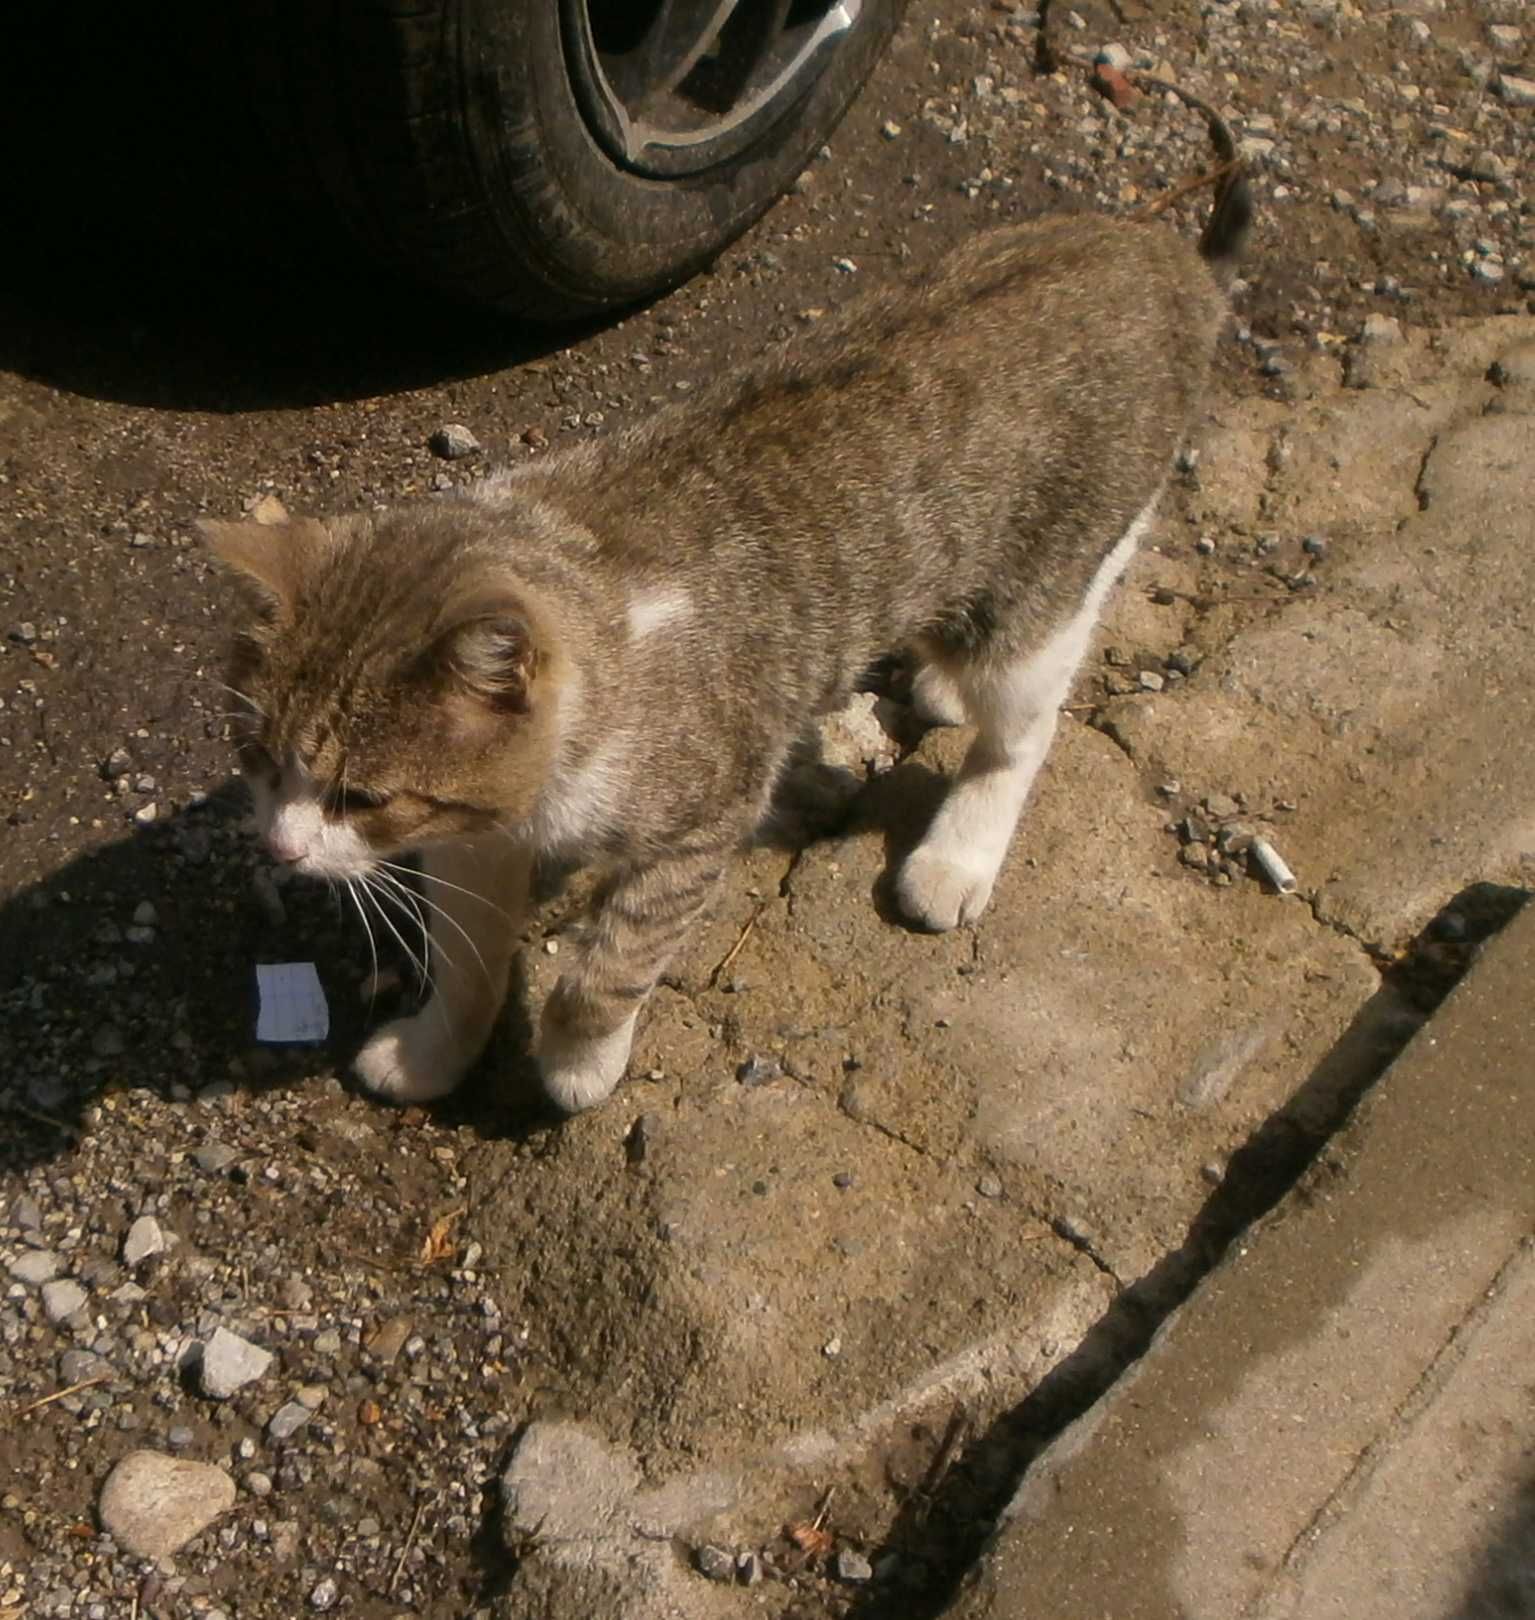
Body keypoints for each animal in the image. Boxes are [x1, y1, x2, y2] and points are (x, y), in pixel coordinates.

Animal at [204, 180, 1250, 1114]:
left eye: (362, 798)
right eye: (256, 759)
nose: (281, 847)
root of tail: (1160, 255)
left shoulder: (701, 818)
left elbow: (607, 967)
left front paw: (578, 1062)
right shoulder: (475, 837)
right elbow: (463, 963)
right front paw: (434, 1054)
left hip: (1039, 591)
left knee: (1029, 715)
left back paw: (959, 848)